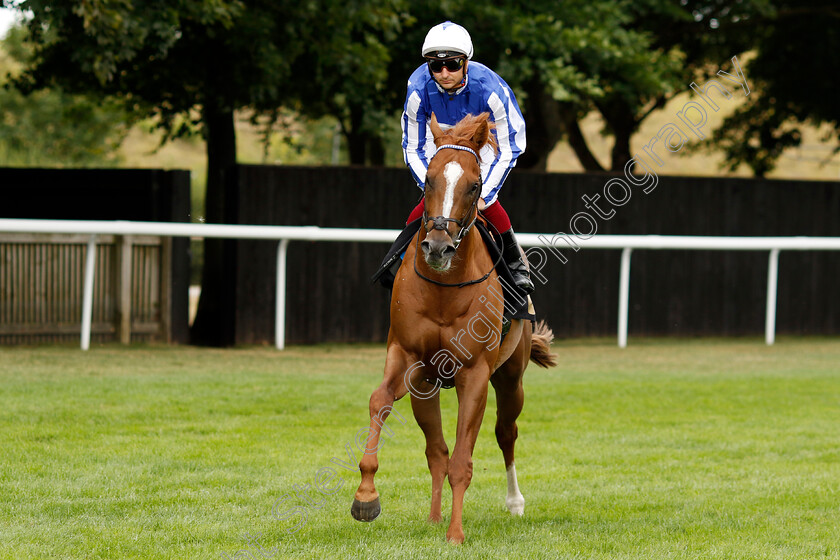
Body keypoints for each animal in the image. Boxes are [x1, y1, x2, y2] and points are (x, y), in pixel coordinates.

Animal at [350, 111, 556, 544]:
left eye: (474, 185)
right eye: (428, 179)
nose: (438, 246)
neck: (444, 290)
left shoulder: (474, 373)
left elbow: (464, 458)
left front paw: (456, 534)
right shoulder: (407, 357)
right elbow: (380, 402)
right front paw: (366, 497)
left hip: (511, 379)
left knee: (505, 433)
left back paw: (513, 502)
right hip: (426, 385)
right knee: (436, 451)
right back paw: (433, 516)